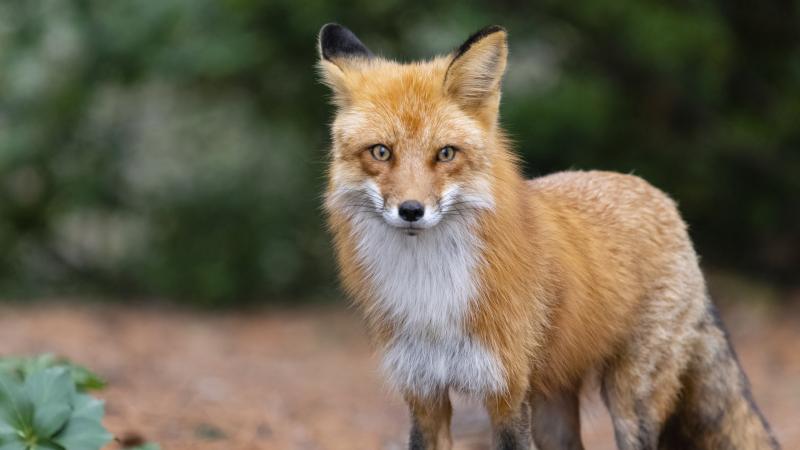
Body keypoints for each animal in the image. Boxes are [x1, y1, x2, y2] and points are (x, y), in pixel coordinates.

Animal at [317, 23, 779, 450]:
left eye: (445, 154)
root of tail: (660, 197)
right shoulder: (423, 393)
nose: (411, 210)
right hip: (552, 405)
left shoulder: (506, 393)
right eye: (381, 152)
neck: (431, 291)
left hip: (629, 399)